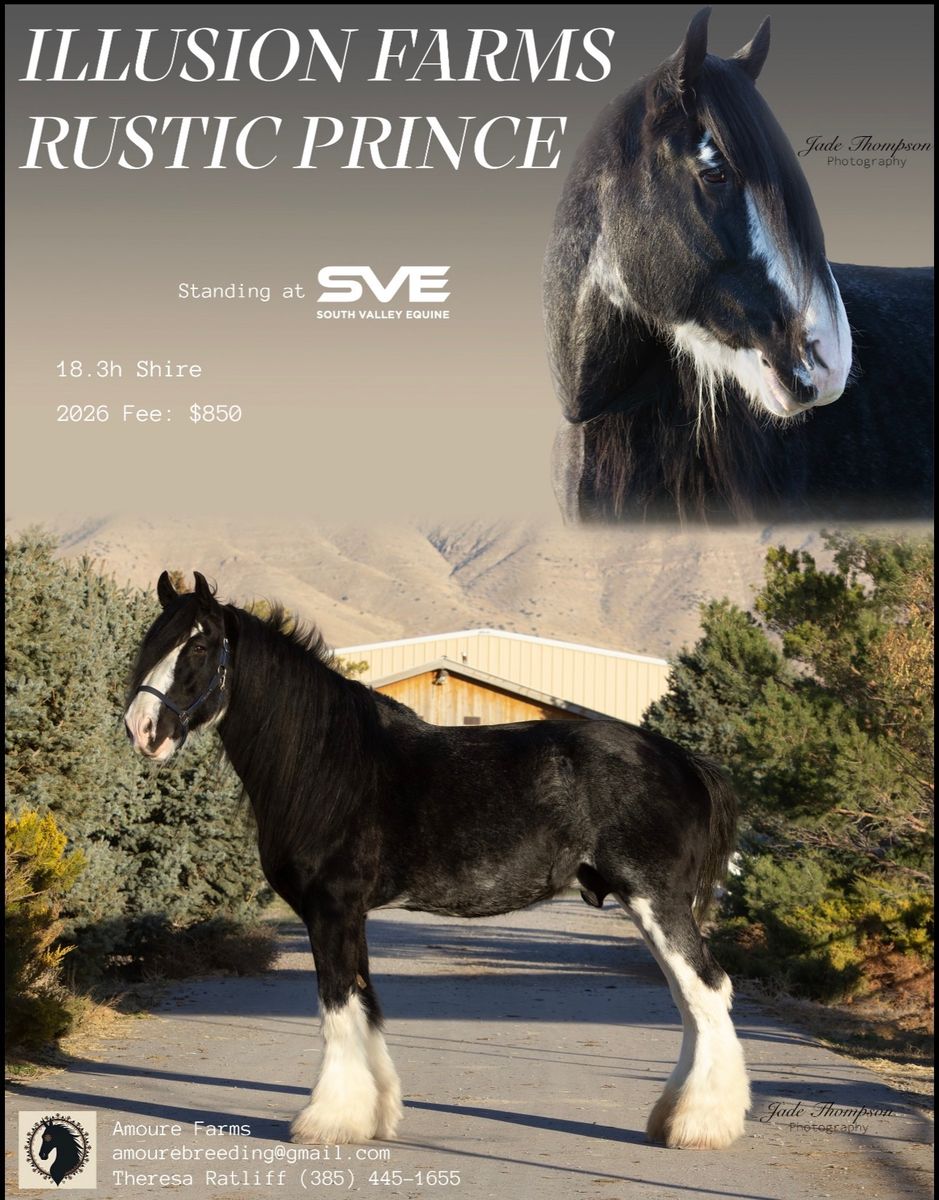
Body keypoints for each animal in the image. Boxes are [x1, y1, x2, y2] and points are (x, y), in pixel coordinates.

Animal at [124, 572, 751, 1150]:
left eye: (198, 646)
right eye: (153, 641)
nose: (142, 729)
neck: (328, 764)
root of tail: (684, 762)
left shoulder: (331, 909)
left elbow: (337, 1003)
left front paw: (327, 1121)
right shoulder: (351, 915)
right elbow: (364, 1003)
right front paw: (373, 1116)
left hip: (656, 899)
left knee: (705, 990)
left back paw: (700, 1126)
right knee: (690, 999)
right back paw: (675, 1118)